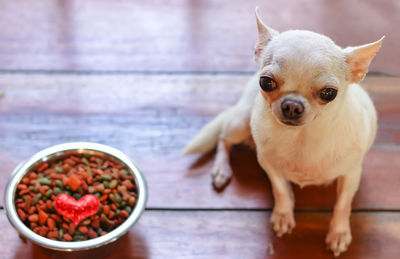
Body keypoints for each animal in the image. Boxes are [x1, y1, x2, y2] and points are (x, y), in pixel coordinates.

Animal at [183, 7, 382, 258]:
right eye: (266, 82)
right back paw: (221, 169)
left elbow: (342, 204)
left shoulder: (351, 174)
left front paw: (338, 233)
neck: (302, 138)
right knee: (223, 139)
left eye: (329, 93)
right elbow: (281, 190)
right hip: (241, 121)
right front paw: (283, 215)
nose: (292, 105)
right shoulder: (268, 163)